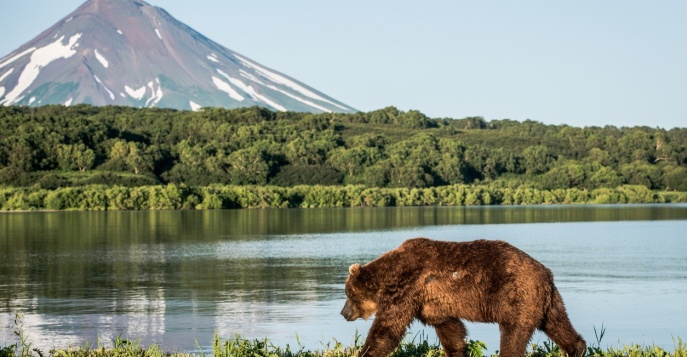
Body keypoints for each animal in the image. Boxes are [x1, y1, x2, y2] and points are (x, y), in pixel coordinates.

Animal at [338, 236, 584, 356]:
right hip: (546, 300)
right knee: (558, 323)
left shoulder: (405, 288)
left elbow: (387, 329)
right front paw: (458, 351)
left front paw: (365, 352)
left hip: (515, 295)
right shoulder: (433, 304)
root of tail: (545, 272)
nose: (343, 312)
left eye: (348, 293)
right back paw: (577, 348)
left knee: (513, 335)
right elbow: (451, 330)